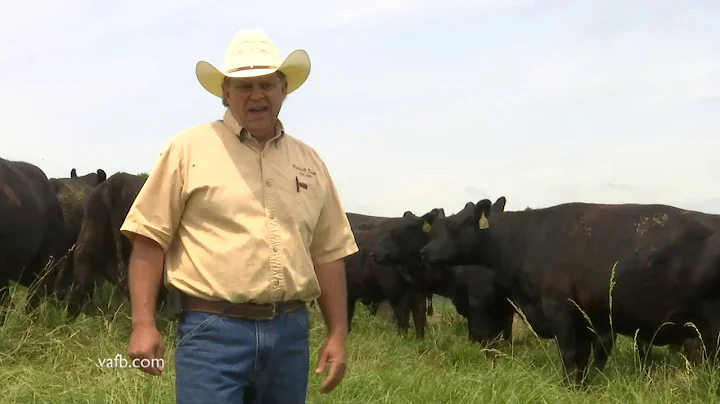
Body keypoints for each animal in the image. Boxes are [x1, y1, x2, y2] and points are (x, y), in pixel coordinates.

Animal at [420, 200, 712, 386]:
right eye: (435, 230)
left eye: (454, 227)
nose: (424, 252)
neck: (525, 239)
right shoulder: (582, 318)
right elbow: (581, 359)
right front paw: (580, 387)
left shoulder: (559, 308)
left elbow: (570, 355)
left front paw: (570, 387)